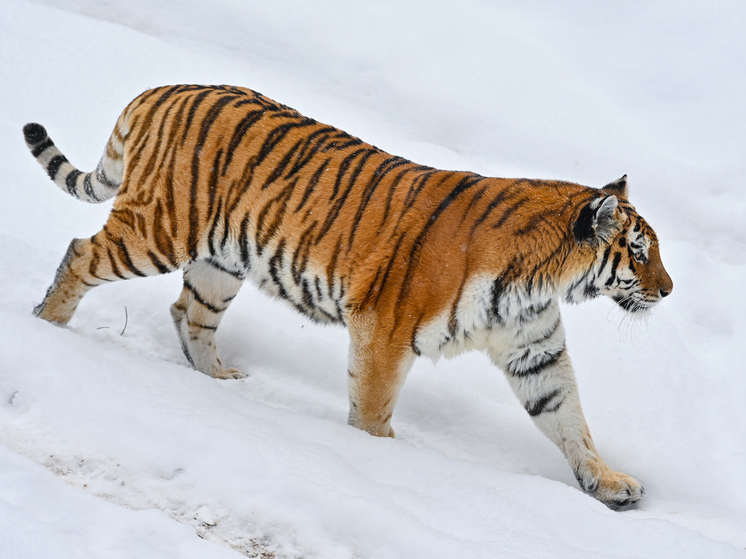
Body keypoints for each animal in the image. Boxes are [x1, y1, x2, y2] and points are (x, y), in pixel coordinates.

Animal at [24, 84, 676, 512]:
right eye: (639, 252)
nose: (668, 291)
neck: (543, 281)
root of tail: (159, 90)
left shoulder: (534, 349)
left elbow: (570, 420)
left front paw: (608, 483)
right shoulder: (386, 331)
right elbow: (373, 407)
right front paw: (381, 459)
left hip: (220, 262)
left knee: (189, 313)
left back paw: (218, 382)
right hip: (158, 230)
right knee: (81, 252)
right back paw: (46, 327)